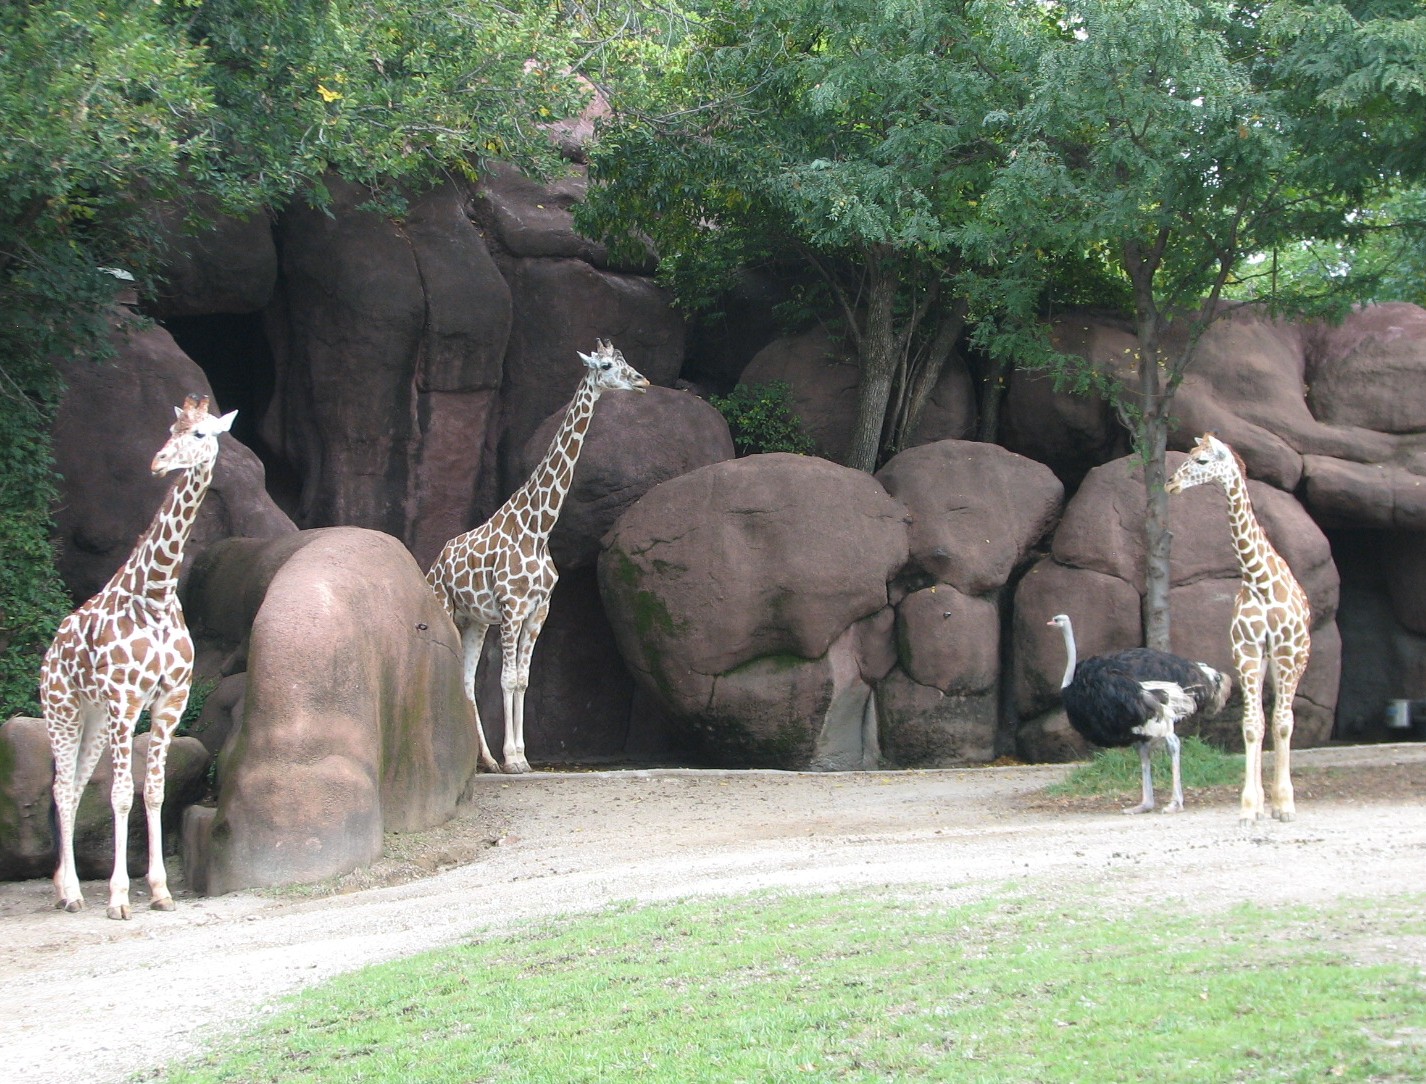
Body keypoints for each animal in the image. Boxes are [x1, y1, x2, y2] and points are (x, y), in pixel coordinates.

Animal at [41, 394, 236, 919]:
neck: (156, 592)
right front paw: (118, 898)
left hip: (90, 718)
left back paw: (64, 888)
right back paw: (71, 893)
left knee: (72, 786)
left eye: (200, 434)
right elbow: (120, 795)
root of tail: (48, 655)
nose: (157, 463)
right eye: (171, 429)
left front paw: (161, 891)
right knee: (61, 788)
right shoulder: (125, 701)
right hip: (62, 711)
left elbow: (153, 791)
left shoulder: (170, 699)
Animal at [427, 340, 649, 774]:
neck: (538, 528)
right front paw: (514, 758)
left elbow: (523, 679)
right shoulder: (512, 608)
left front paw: (520, 757)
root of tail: (433, 564)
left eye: (627, 361)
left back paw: (485, 760)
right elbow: (507, 679)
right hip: (446, 607)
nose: (643, 382)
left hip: (475, 620)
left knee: (465, 679)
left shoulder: (537, 611)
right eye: (606, 366)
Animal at [1165, 433, 1311, 825]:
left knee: (1283, 718)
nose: (1170, 484)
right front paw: (1249, 807)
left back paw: (1280, 803)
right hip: (1262, 663)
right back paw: (1263, 804)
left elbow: (1282, 723)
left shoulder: (1286, 653)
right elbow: (1252, 725)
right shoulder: (1246, 653)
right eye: (1189, 454)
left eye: (1201, 461)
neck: (1258, 580)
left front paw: (1285, 805)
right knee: (1262, 718)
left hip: (1294, 660)